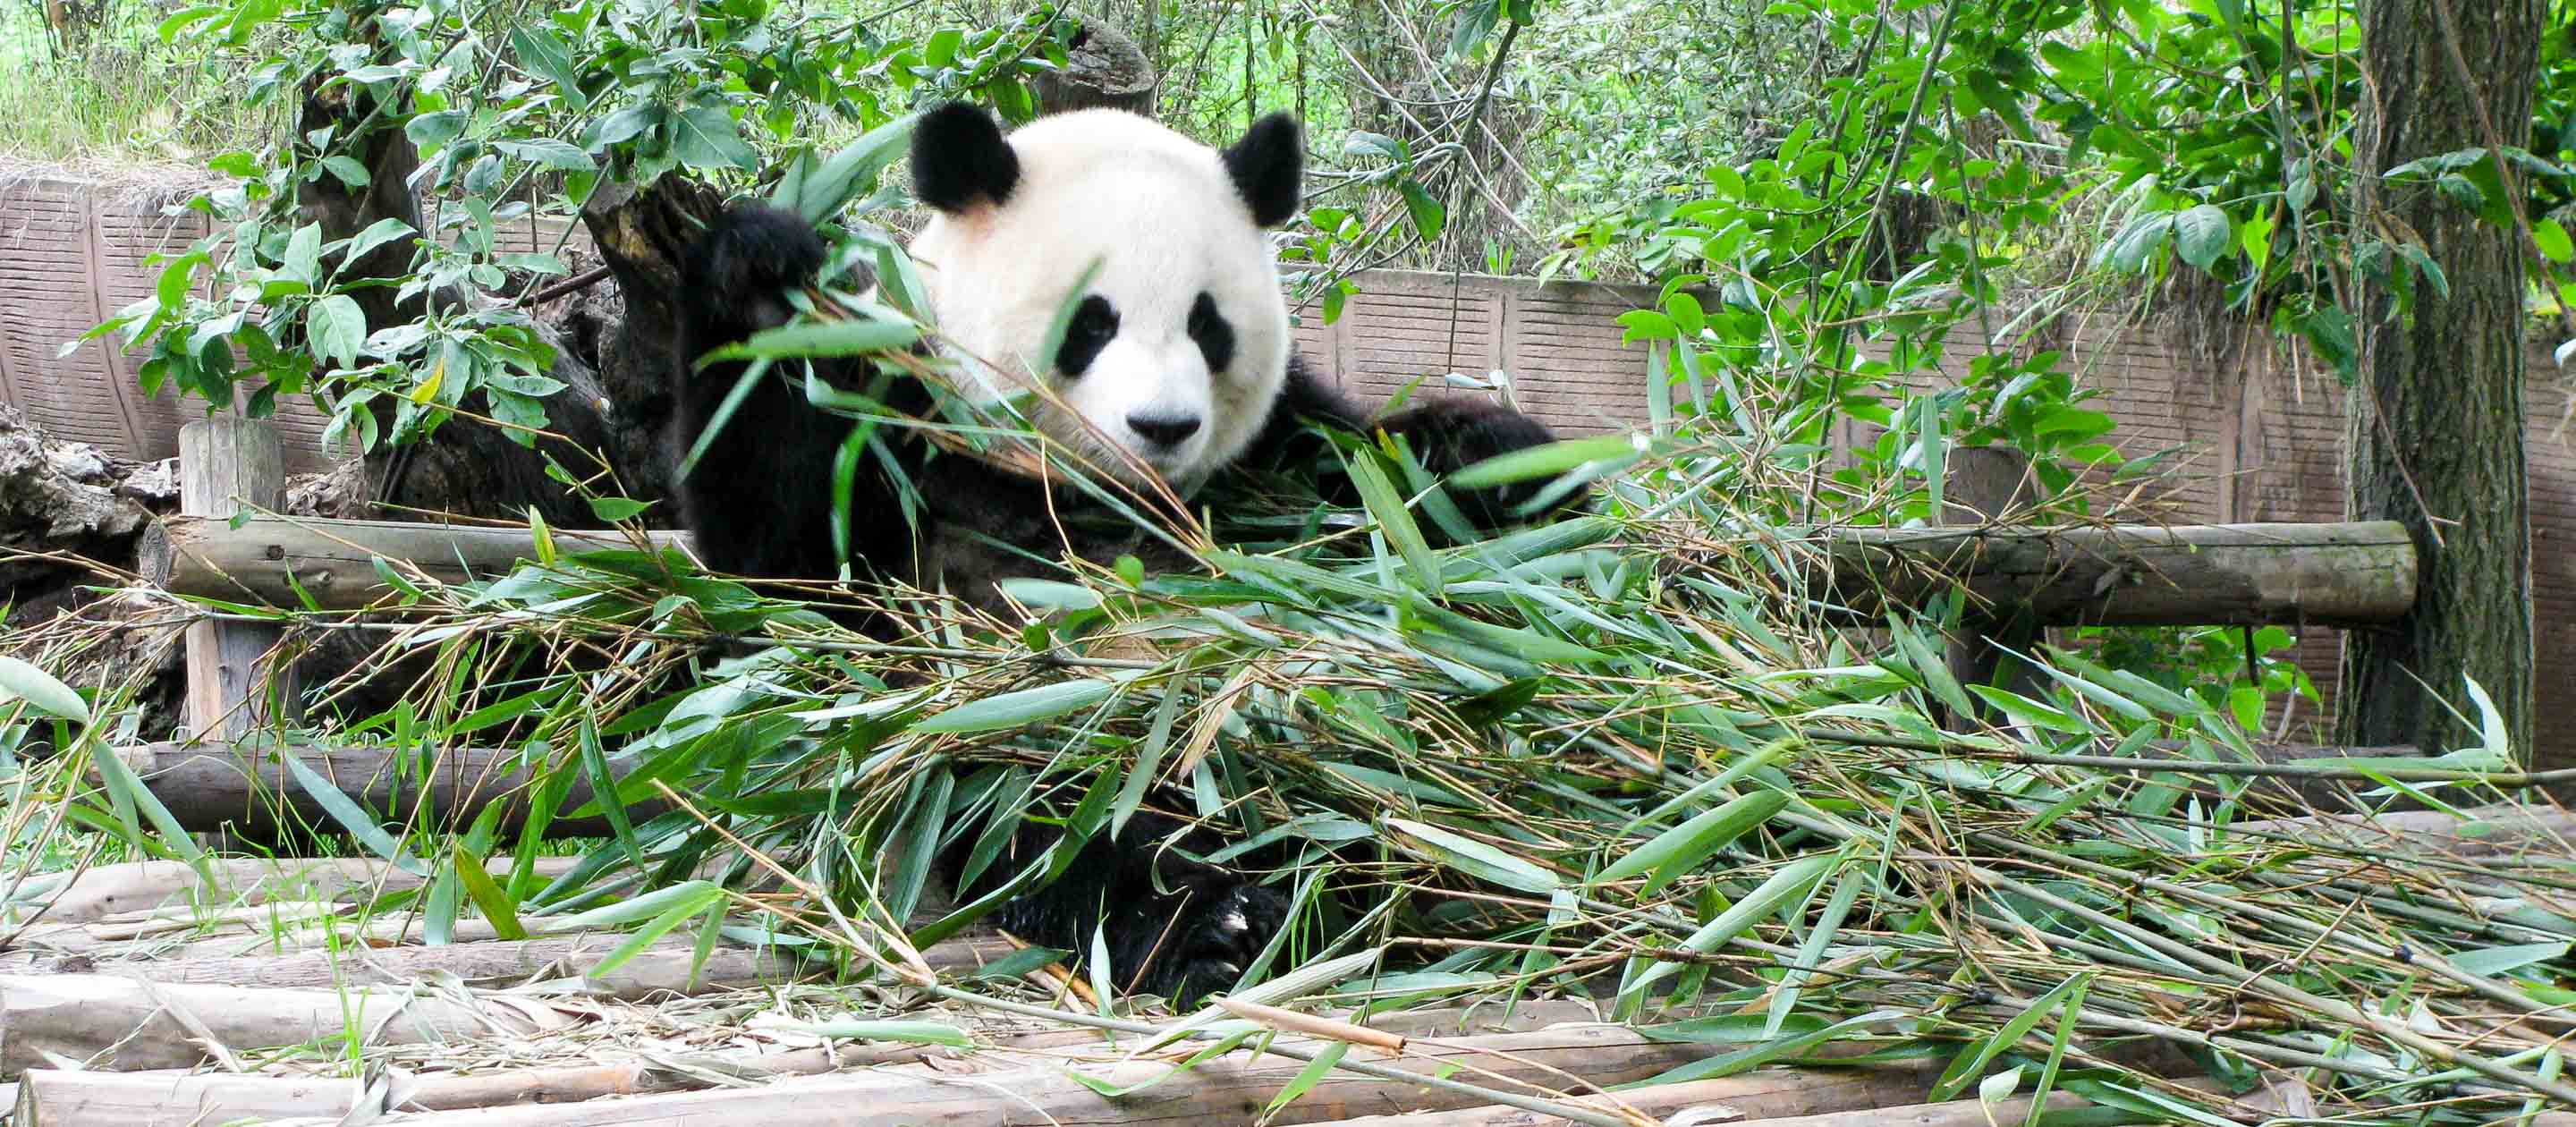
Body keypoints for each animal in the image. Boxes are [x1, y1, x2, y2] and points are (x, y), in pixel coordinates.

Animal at [674, 105, 1566, 998]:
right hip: (1037, 741)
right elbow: (794, 581)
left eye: (1207, 325)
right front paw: (761, 280)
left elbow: (1380, 476)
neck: (1105, 496)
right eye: (1092, 322)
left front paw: (1505, 468)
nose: (1163, 427)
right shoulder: (903, 445)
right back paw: (1220, 922)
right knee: (1065, 815)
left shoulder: (1276, 461)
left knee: (1410, 795)